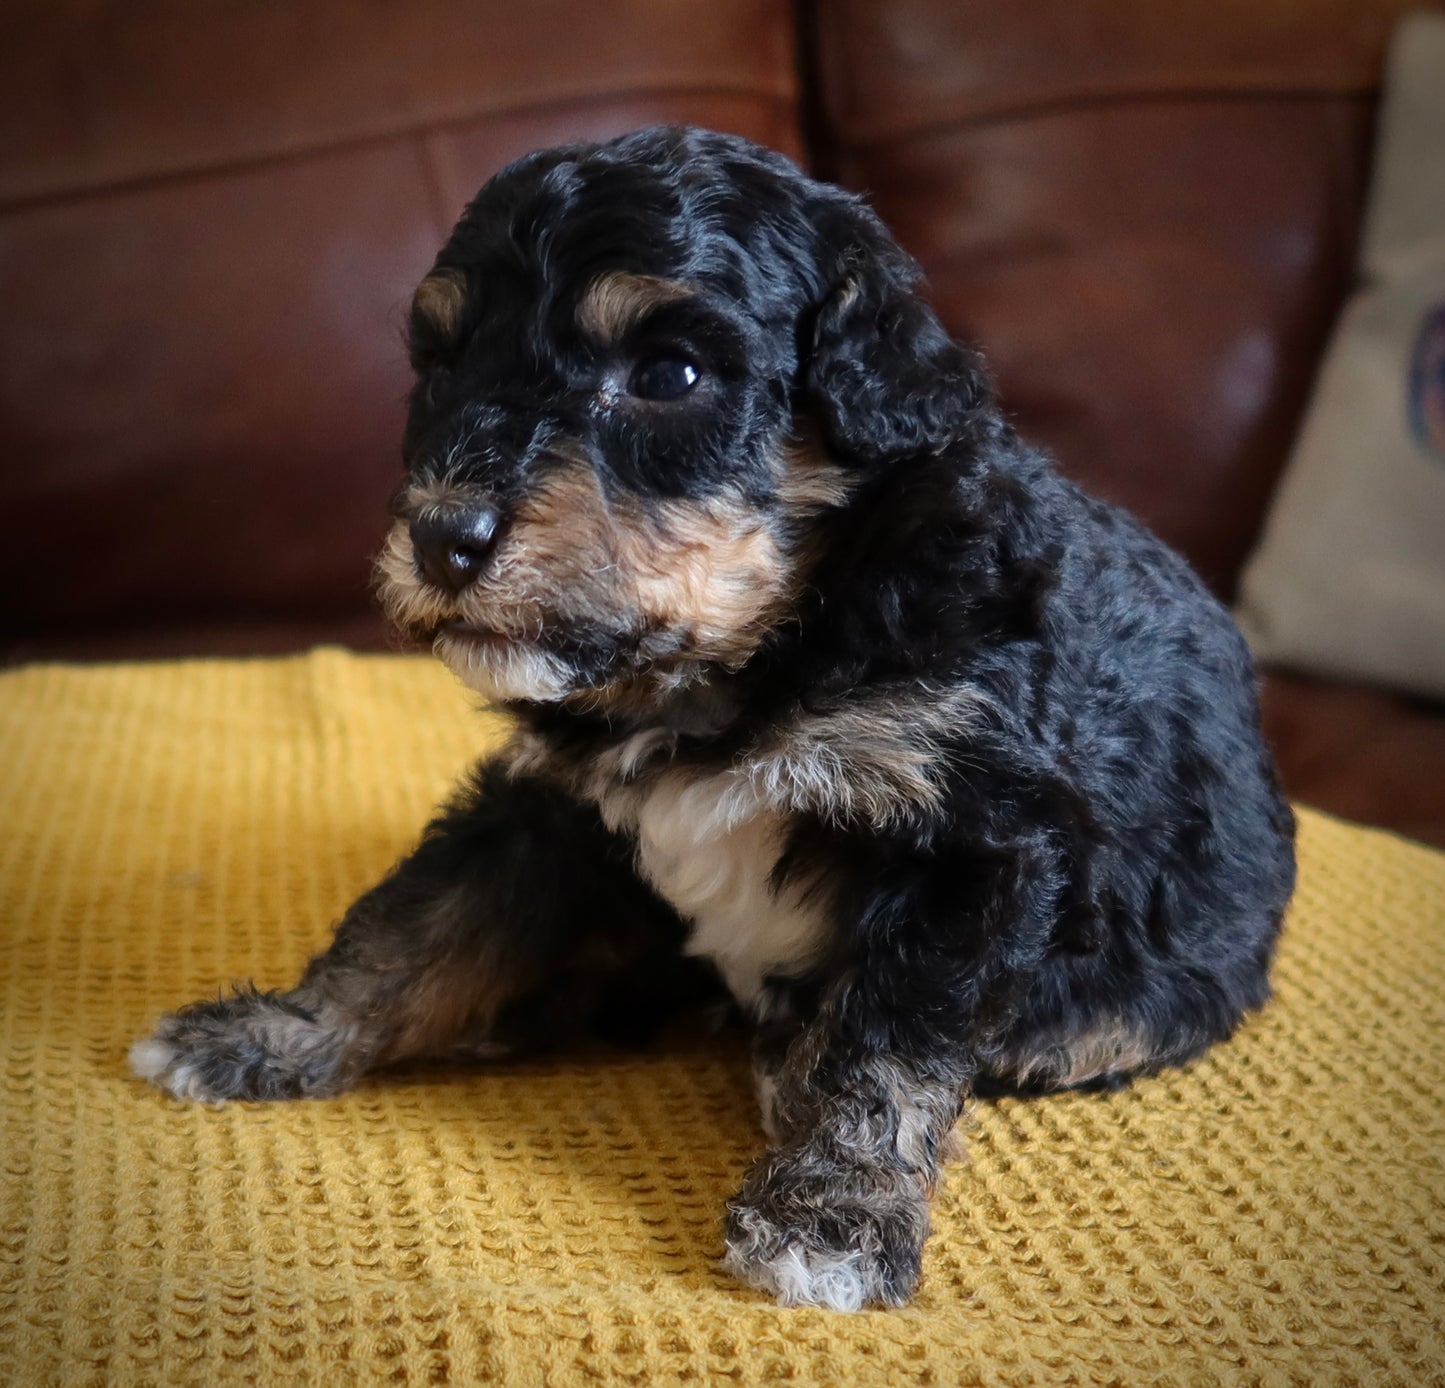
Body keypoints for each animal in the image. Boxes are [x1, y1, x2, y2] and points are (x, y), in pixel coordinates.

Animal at [137, 127, 1300, 1311]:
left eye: (670, 375)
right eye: (441, 365)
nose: (441, 535)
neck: (743, 658)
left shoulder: (973, 838)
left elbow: (885, 1045)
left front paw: (832, 1212)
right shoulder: (549, 803)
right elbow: (421, 918)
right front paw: (281, 1028)